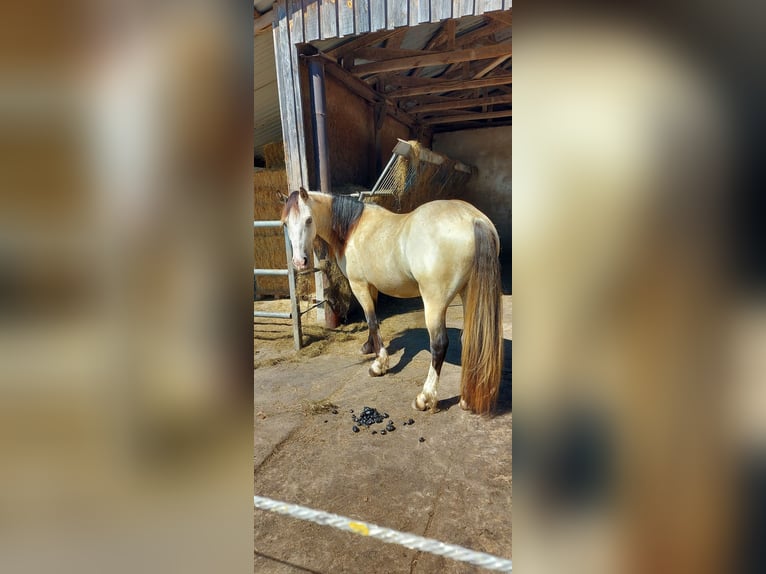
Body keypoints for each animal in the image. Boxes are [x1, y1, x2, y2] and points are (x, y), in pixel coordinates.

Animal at [281, 187, 503, 414]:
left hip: (435, 303)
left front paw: (379, 365)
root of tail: (474, 219)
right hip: (468, 294)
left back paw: (425, 398)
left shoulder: (359, 285)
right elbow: (374, 320)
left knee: (439, 344)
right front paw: (368, 347)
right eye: (285, 223)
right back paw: (467, 399)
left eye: (308, 220)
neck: (353, 228)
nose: (299, 262)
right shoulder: (372, 286)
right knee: (471, 339)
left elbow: (371, 320)